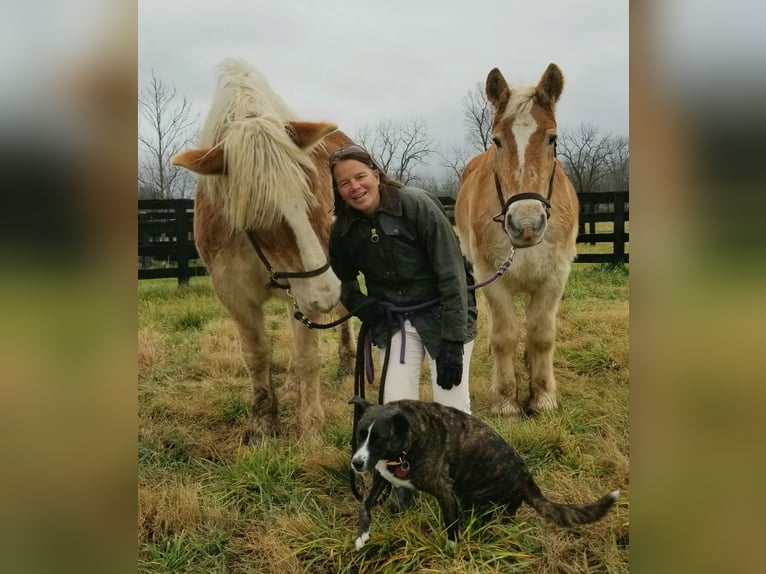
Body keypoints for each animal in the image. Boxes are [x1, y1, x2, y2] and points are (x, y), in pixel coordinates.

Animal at [171, 58, 356, 444]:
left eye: (313, 191)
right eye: (258, 214)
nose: (324, 295)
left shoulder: (309, 283)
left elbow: (308, 356)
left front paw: (310, 429)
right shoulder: (235, 295)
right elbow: (257, 355)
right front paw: (265, 424)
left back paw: (347, 363)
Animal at [352, 398, 620, 552]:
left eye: (379, 439)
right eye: (360, 434)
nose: (356, 464)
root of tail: (526, 479)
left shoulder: (445, 490)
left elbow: (451, 527)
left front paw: (450, 552)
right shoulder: (380, 476)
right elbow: (364, 506)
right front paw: (362, 535)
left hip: (478, 502)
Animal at [460, 64, 580, 418]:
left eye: (553, 139)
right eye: (497, 141)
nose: (526, 224)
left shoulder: (554, 276)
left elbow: (542, 334)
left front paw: (542, 396)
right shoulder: (490, 275)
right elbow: (504, 335)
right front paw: (506, 400)